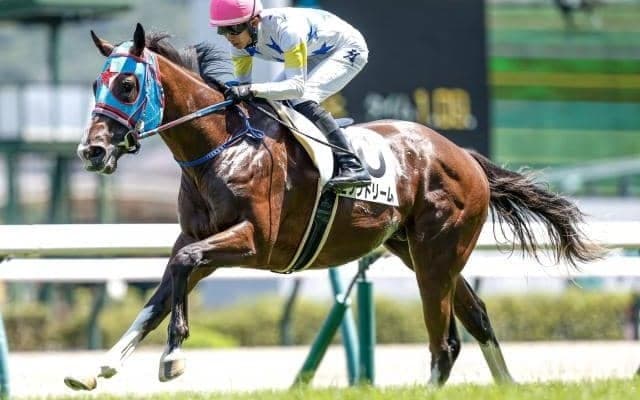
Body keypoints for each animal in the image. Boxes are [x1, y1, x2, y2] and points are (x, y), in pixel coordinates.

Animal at [67, 23, 604, 391]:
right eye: (96, 86)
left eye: (127, 86)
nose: (91, 151)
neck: (222, 146)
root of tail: (463, 155)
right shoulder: (201, 238)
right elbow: (161, 293)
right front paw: (99, 367)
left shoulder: (253, 242)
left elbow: (181, 266)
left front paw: (172, 358)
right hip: (418, 251)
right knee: (477, 319)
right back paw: (508, 385)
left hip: (436, 255)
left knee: (445, 340)